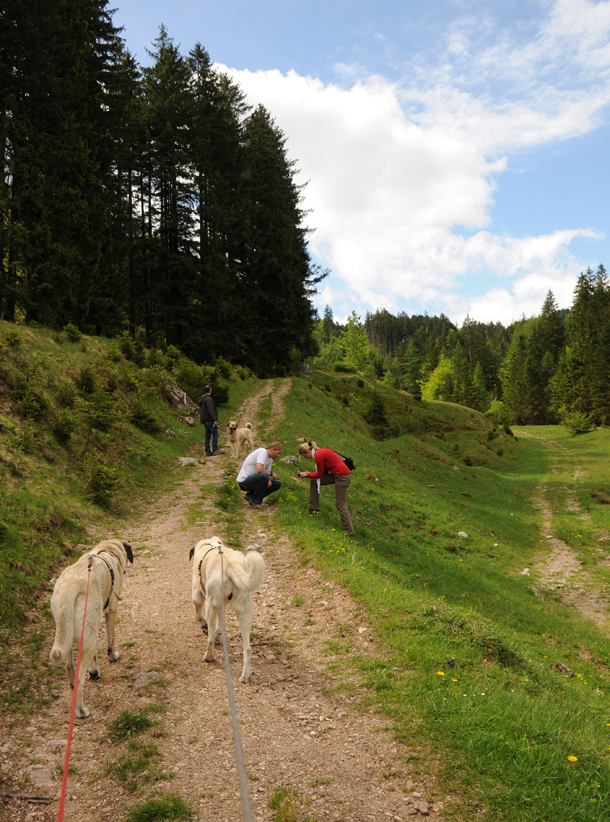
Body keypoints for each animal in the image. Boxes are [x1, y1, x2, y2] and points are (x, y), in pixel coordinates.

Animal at [49, 539, 133, 718]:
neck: (107, 549)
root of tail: (70, 585)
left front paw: (94, 671)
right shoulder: (111, 611)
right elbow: (111, 641)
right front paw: (113, 657)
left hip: (68, 633)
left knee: (70, 667)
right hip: (87, 633)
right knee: (80, 679)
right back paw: (81, 711)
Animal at [189, 537, 264, 683]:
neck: (209, 544)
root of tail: (231, 565)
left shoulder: (198, 595)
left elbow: (198, 615)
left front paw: (203, 624)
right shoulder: (221, 605)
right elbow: (220, 626)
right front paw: (219, 636)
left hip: (210, 604)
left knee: (210, 639)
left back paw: (208, 656)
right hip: (244, 611)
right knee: (247, 648)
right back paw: (246, 676)